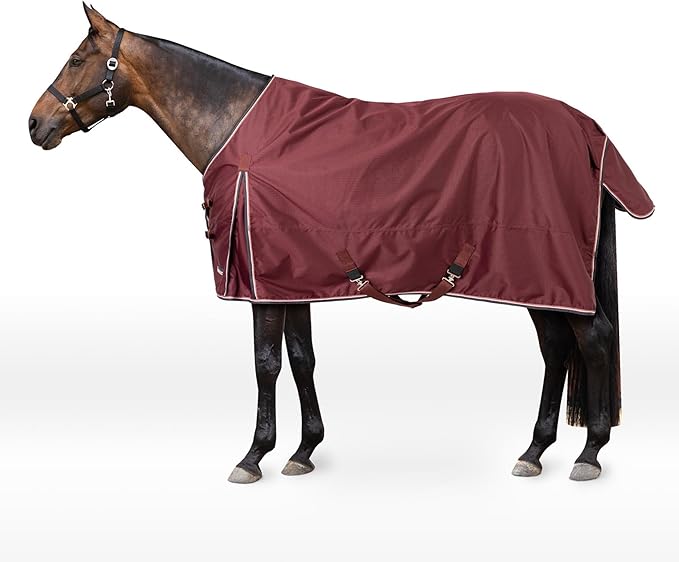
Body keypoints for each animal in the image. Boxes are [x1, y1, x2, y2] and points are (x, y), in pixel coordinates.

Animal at [29, 5, 654, 483]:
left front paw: (253, 457)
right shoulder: (291, 278)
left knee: (593, 340)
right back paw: (535, 451)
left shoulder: (260, 283)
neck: (237, 130)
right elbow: (301, 358)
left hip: (548, 270)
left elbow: (264, 363)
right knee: (557, 349)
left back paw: (589, 454)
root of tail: (587, 131)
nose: (35, 124)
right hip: (533, 280)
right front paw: (304, 451)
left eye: (77, 59)